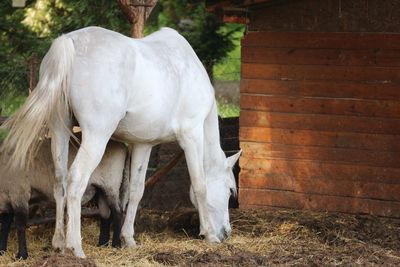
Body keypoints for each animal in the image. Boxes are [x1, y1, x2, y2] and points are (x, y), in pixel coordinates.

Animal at [1, 26, 241, 258]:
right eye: (230, 191)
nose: (226, 233)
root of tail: (69, 41)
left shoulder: (144, 145)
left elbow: (136, 191)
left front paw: (128, 239)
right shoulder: (191, 136)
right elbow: (200, 185)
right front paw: (209, 235)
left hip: (60, 131)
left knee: (60, 182)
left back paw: (59, 243)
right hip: (96, 136)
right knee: (75, 180)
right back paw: (75, 247)